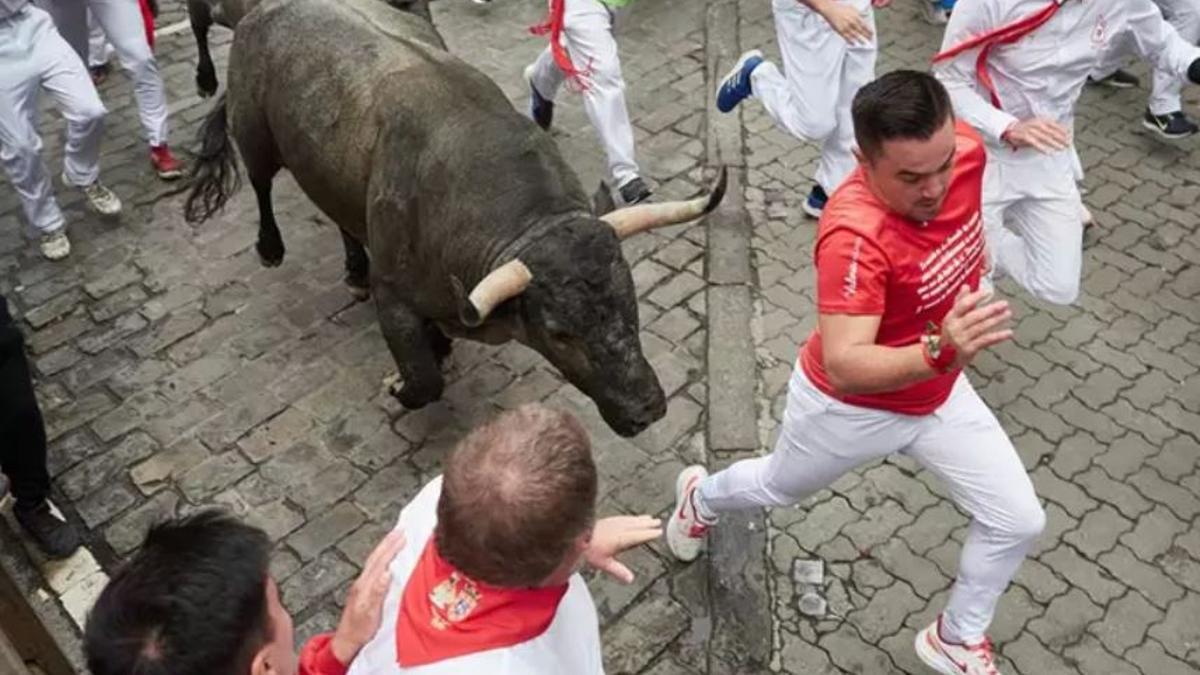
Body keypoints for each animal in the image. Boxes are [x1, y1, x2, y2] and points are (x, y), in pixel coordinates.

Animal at [182, 0, 724, 437]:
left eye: (630, 301)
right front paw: (400, 382)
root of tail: (261, 12)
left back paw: (353, 269)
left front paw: (438, 344)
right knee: (260, 182)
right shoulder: (393, 293)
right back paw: (271, 248)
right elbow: (425, 380)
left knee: (340, 216)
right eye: (559, 333)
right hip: (255, 131)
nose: (646, 410)